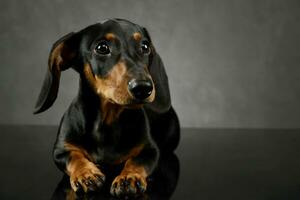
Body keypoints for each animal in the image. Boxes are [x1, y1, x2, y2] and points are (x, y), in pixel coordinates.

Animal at [35, 18, 180, 198]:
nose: (143, 88)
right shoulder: (61, 150)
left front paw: (129, 177)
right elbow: (74, 157)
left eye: (145, 47)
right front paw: (86, 174)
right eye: (102, 48)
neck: (106, 122)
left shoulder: (151, 150)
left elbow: (137, 161)